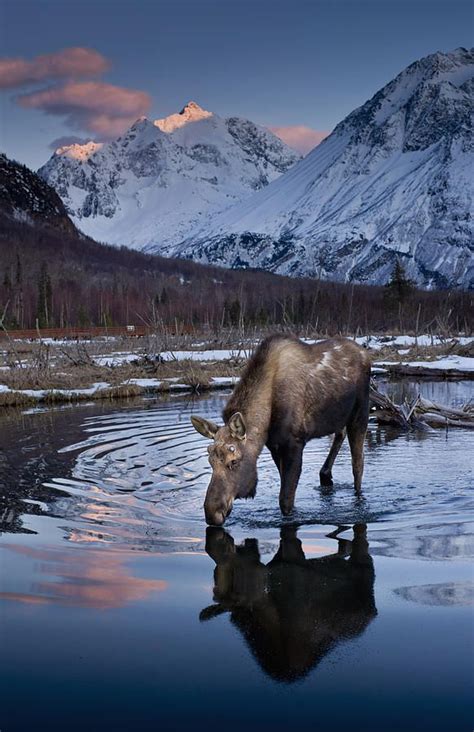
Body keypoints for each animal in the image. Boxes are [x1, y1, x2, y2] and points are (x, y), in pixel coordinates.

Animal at [191, 334, 372, 528]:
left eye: (234, 461)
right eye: (210, 461)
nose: (212, 513)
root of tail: (366, 354)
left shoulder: (295, 443)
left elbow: (285, 501)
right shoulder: (274, 446)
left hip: (360, 413)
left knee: (358, 465)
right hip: (339, 417)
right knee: (340, 434)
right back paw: (325, 474)